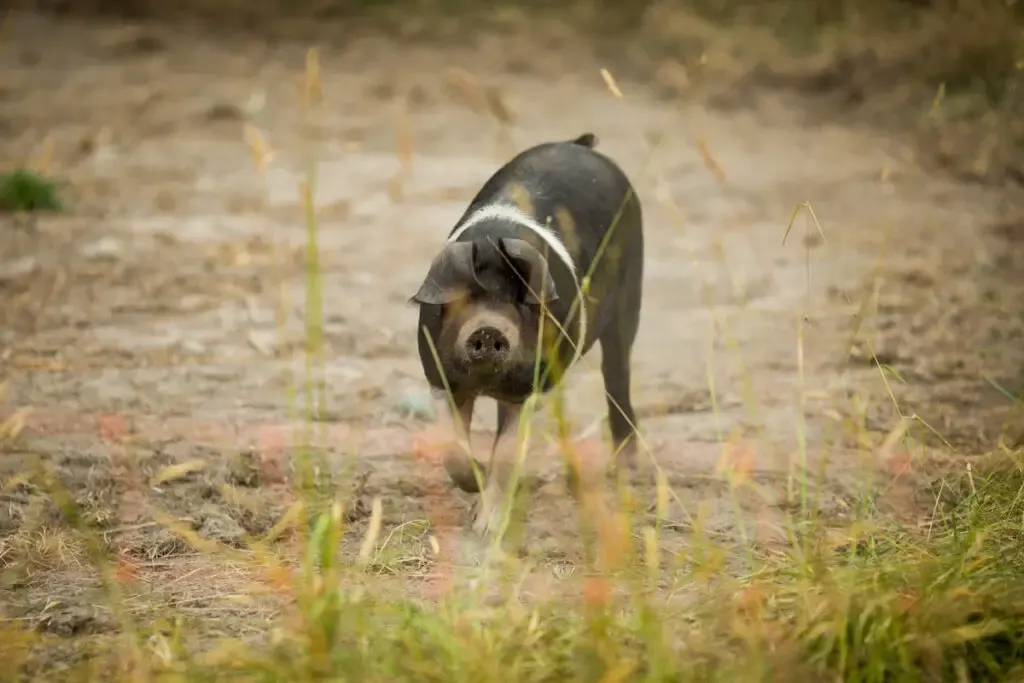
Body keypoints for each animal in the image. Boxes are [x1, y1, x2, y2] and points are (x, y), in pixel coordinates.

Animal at [407, 132, 638, 540]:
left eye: (520, 299)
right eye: (465, 295)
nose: (488, 329)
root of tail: (581, 144)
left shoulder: (531, 387)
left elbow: (507, 454)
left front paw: (485, 529)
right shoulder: (440, 376)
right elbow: (453, 447)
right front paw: (475, 483)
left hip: (628, 305)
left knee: (618, 382)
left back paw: (621, 471)